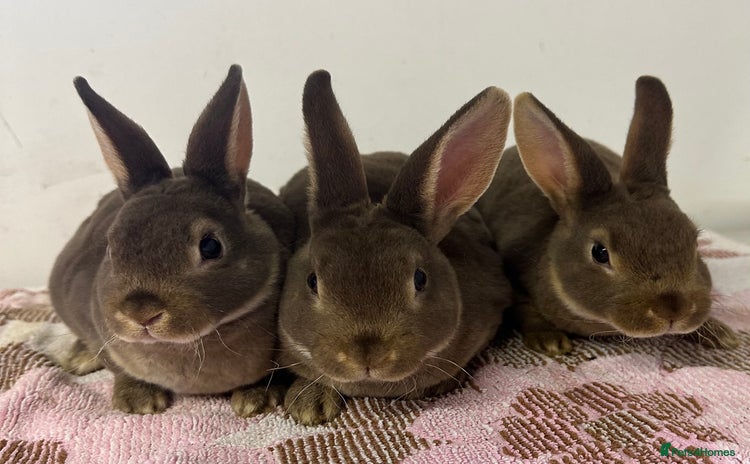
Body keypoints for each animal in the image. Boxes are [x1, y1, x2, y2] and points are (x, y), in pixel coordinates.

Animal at [48, 65, 295, 416]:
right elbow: (116, 366)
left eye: (210, 246)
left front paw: (256, 398)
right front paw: (138, 401)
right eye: (111, 247)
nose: (141, 313)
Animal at [476, 76, 739, 357]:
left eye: (694, 242)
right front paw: (550, 340)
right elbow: (525, 310)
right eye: (600, 253)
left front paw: (721, 334)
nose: (673, 311)